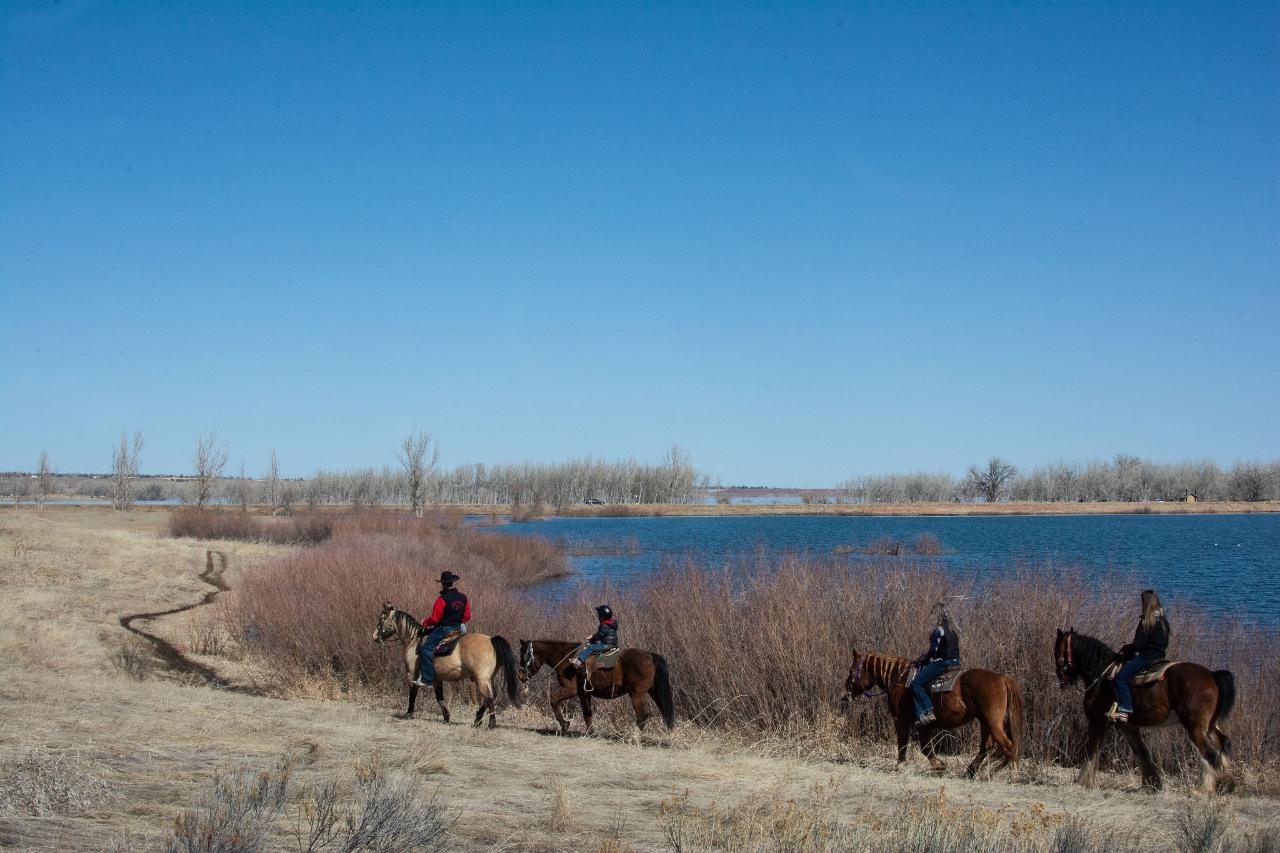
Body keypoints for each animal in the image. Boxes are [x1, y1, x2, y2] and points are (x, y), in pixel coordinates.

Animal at [373, 601, 522, 727]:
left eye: (382, 619)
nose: (374, 636)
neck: (414, 641)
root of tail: (491, 640)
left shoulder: (412, 676)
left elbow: (413, 695)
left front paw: (409, 713)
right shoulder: (437, 679)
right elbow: (440, 698)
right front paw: (446, 718)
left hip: (482, 680)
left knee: (489, 698)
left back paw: (490, 724)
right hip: (488, 678)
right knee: (491, 697)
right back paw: (477, 720)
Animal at [519, 635, 680, 732]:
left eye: (523, 655)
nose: (520, 676)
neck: (567, 660)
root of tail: (651, 656)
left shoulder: (571, 690)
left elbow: (553, 701)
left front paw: (565, 724)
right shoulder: (585, 693)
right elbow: (587, 713)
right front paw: (589, 731)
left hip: (637, 695)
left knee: (642, 715)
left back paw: (634, 736)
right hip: (654, 691)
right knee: (664, 711)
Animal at [844, 645, 1024, 778]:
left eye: (852, 671)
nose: (846, 693)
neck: (900, 680)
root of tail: (1001, 677)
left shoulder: (901, 720)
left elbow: (905, 744)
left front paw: (901, 766)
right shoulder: (924, 725)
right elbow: (925, 747)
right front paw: (940, 766)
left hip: (993, 722)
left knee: (1008, 747)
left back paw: (1003, 774)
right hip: (985, 722)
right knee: (987, 747)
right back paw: (972, 772)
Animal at [1054, 625, 1233, 788]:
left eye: (1058, 654)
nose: (1062, 681)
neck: (1102, 675)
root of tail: (1212, 675)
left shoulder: (1097, 720)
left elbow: (1091, 750)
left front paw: (1083, 781)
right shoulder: (1127, 726)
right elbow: (1141, 752)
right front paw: (1152, 784)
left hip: (1195, 727)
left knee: (1209, 754)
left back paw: (1203, 789)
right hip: (1208, 726)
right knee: (1222, 744)